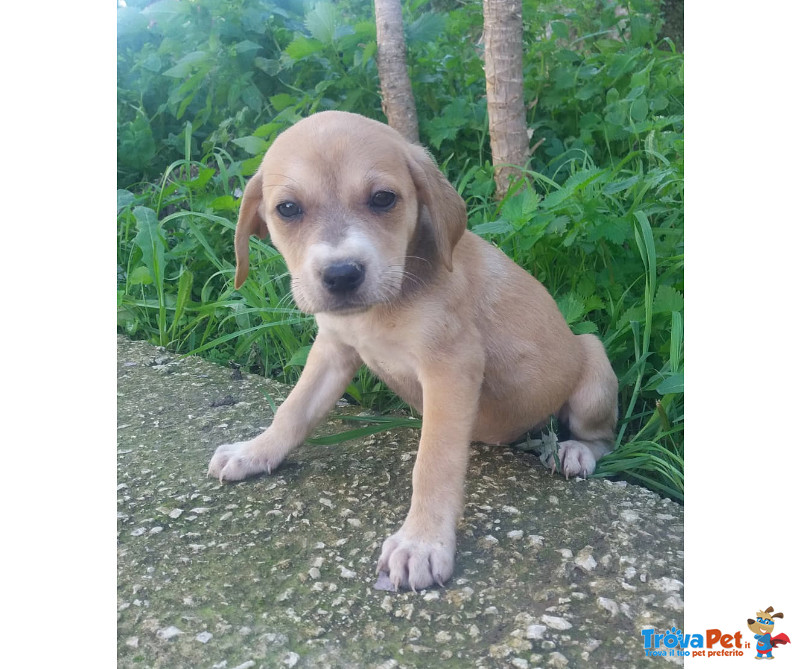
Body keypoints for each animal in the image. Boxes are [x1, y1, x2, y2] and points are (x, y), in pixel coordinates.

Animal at [208, 111, 620, 588]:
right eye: (288, 209)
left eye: (383, 199)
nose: (342, 275)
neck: (386, 302)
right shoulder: (333, 350)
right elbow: (293, 410)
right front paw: (254, 452)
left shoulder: (451, 369)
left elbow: (433, 463)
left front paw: (422, 543)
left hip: (593, 370)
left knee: (603, 436)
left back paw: (574, 451)